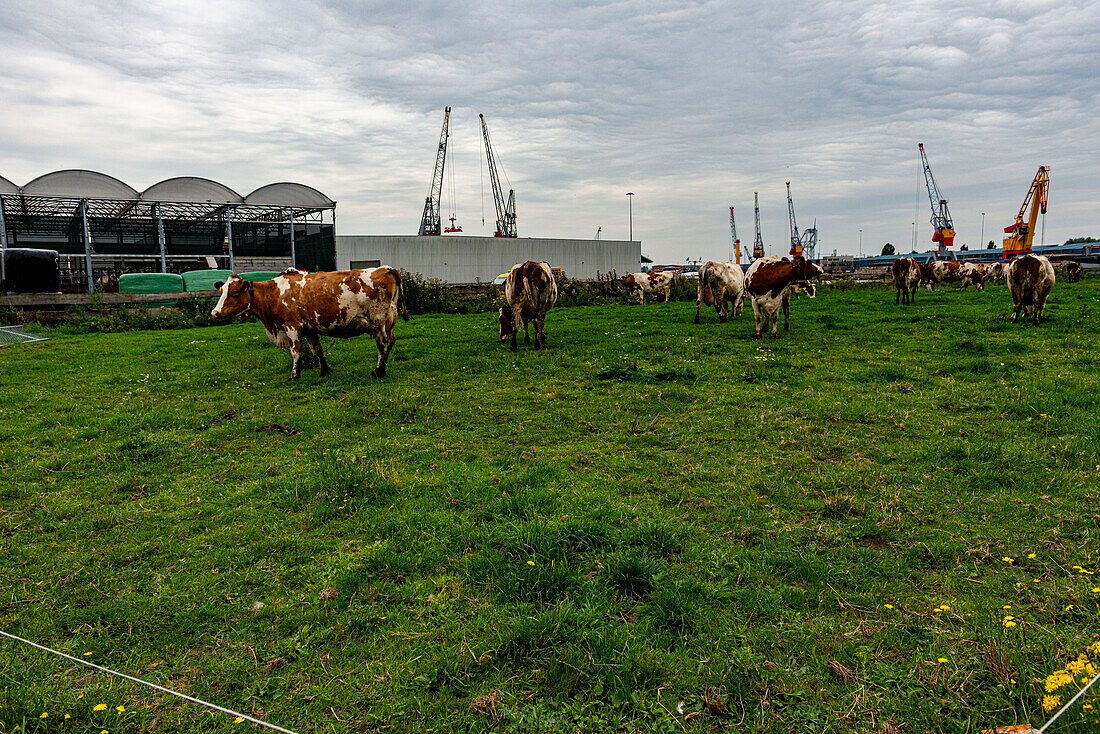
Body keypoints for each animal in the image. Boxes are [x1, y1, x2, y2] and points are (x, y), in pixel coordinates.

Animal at [209, 267, 404, 378]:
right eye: (222, 290)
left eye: (234, 292)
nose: (215, 312)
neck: (274, 293)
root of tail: (386, 268)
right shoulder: (310, 328)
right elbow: (317, 350)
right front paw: (325, 371)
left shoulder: (292, 326)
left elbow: (296, 352)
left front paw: (295, 374)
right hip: (389, 322)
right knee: (390, 342)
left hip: (377, 322)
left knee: (382, 345)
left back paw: (379, 371)